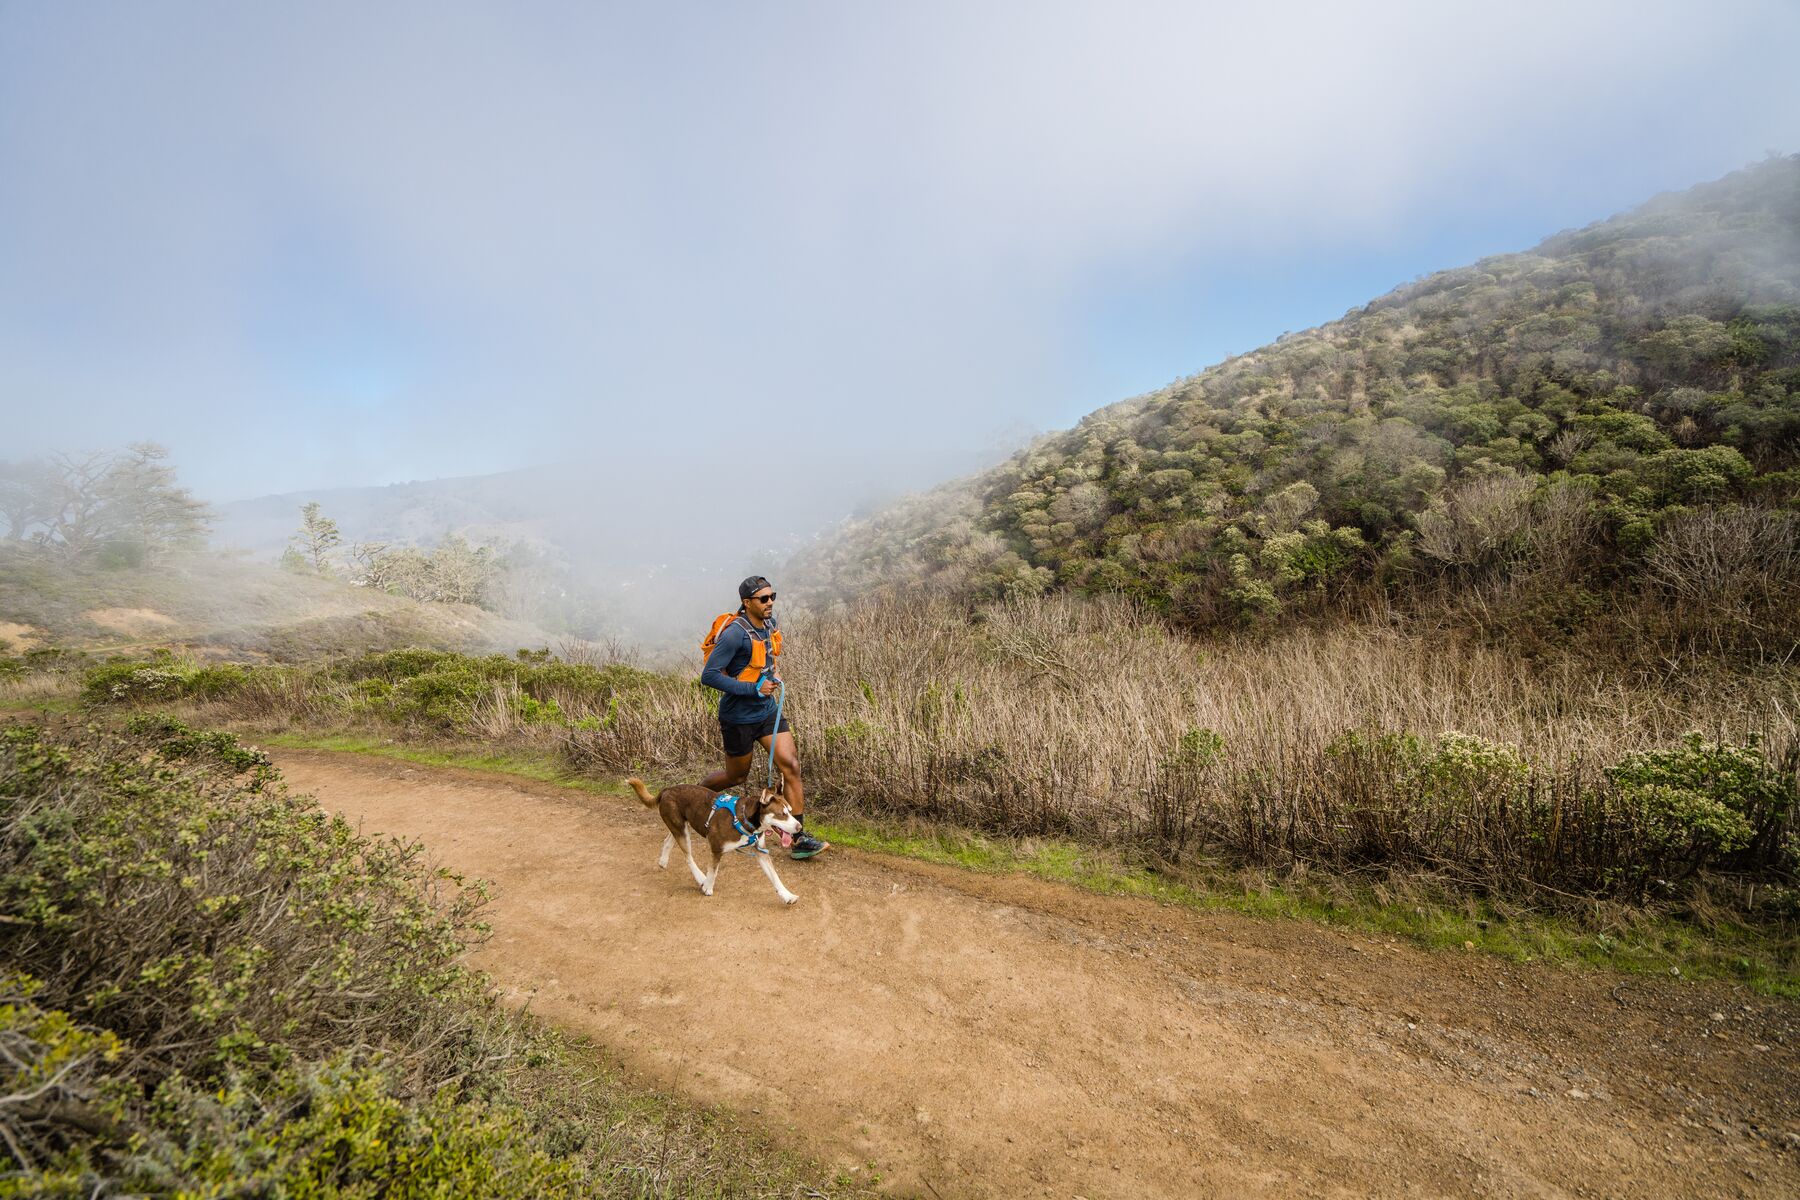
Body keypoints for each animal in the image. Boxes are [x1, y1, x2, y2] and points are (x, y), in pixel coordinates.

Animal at [630, 784, 806, 906]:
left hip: (680, 826)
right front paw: (708, 886)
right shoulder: (716, 847)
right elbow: (713, 871)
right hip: (682, 832)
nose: (799, 827)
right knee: (688, 856)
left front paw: (787, 895)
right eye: (782, 814)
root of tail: (667, 789)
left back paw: (663, 860)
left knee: (669, 839)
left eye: (791, 811)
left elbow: (775, 877)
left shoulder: (761, 851)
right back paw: (700, 878)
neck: (744, 819)